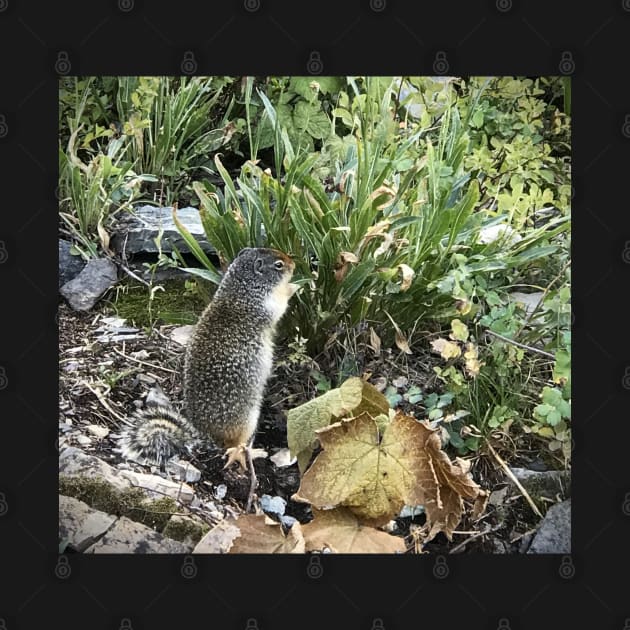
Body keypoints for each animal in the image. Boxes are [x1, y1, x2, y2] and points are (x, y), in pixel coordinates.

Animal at [119, 249, 300, 506]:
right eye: (278, 265)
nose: (294, 264)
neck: (239, 289)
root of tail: (204, 434)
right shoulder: (265, 306)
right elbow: (281, 304)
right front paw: (295, 285)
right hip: (247, 419)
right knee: (234, 446)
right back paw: (253, 452)